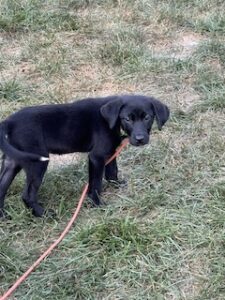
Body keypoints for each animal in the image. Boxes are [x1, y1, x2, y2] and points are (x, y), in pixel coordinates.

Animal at [0, 95, 169, 217]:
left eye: (147, 117)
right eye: (127, 119)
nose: (140, 139)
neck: (111, 120)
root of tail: (8, 122)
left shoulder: (110, 151)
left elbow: (112, 170)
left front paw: (116, 184)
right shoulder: (96, 157)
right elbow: (96, 183)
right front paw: (98, 203)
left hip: (12, 160)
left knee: (2, 186)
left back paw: (3, 215)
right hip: (37, 161)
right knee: (27, 195)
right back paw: (43, 214)